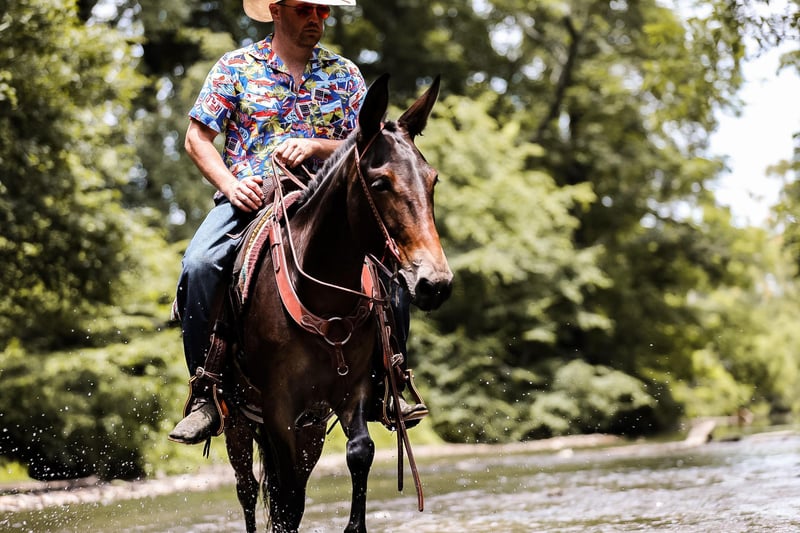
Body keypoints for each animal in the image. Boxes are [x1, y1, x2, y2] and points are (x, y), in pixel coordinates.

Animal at [223, 73, 452, 533]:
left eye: (432, 180)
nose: (434, 283)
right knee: (247, 489)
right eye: (380, 182)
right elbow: (286, 500)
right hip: (237, 418)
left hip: (310, 428)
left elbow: (359, 452)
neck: (324, 295)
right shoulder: (278, 408)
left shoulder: (353, 390)